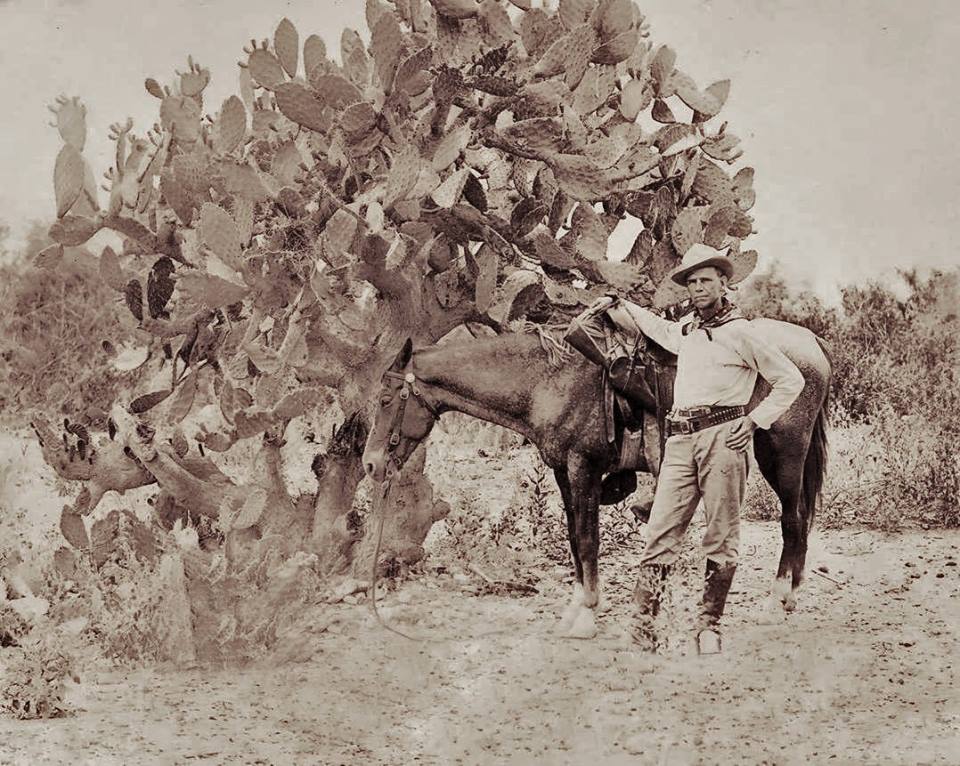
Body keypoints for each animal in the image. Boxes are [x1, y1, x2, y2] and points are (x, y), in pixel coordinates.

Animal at [364, 324, 828, 640]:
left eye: (386, 400)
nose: (370, 465)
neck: (546, 381)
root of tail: (810, 342)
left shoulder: (583, 468)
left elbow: (588, 541)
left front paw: (587, 614)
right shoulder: (562, 472)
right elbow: (574, 538)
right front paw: (575, 607)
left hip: (782, 454)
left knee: (792, 521)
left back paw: (776, 601)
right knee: (801, 521)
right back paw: (790, 596)